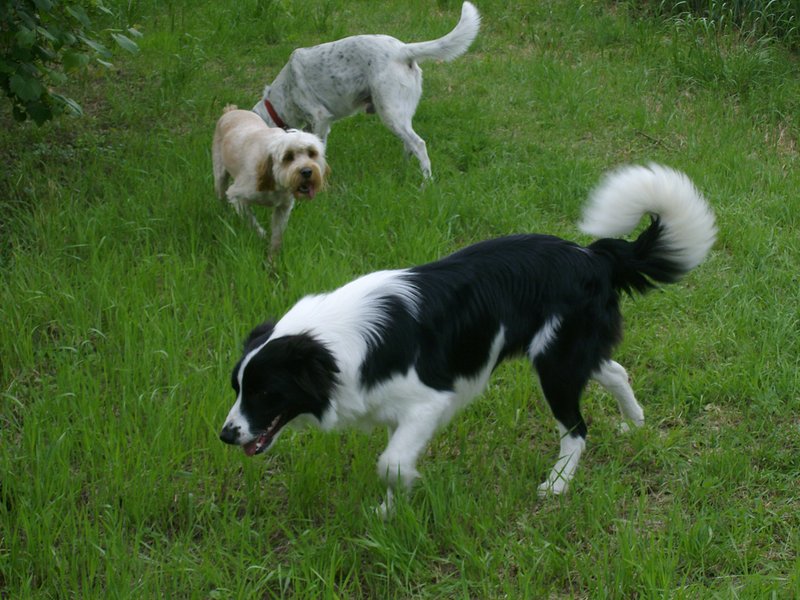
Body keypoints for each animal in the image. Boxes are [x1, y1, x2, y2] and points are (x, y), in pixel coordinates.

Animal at [211, 105, 330, 255]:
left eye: (312, 153)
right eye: (288, 157)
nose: (307, 171)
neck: (275, 182)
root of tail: (231, 111)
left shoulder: (284, 208)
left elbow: (277, 235)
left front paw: (272, 256)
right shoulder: (237, 195)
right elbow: (251, 221)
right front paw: (262, 235)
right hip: (220, 176)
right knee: (221, 196)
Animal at [220, 164, 720, 516]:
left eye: (265, 391)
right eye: (237, 388)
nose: (226, 434)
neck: (333, 348)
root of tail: (591, 254)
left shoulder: (429, 400)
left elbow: (392, 463)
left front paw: (403, 493)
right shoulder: (399, 411)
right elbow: (395, 460)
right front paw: (390, 510)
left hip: (555, 366)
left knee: (577, 430)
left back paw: (557, 485)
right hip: (568, 353)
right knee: (616, 370)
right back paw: (635, 423)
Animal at [250, 1, 478, 178]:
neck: (282, 96)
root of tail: (402, 49)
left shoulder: (320, 117)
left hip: (390, 113)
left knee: (419, 144)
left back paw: (425, 183)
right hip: (400, 115)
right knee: (409, 145)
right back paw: (403, 171)